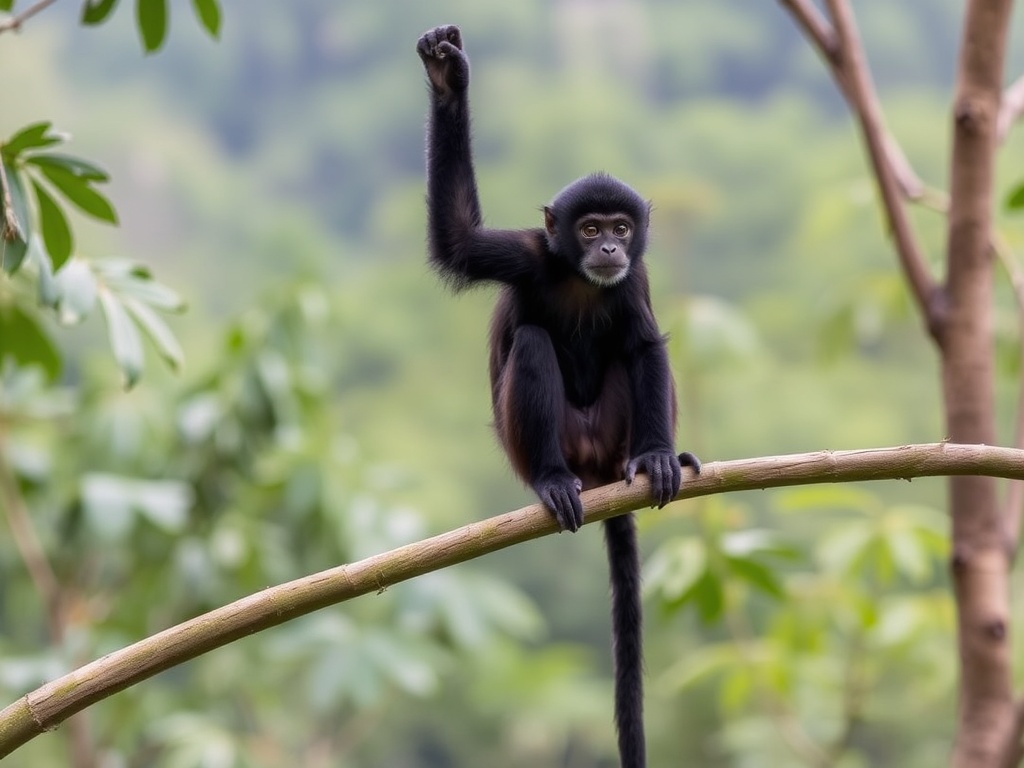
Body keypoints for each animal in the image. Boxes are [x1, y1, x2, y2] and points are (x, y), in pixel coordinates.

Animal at [417, 25, 699, 768]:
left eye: (622, 229)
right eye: (590, 227)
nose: (608, 248)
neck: (579, 278)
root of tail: (597, 470)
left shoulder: (637, 280)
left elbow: (646, 346)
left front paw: (660, 457)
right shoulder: (526, 252)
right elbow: (459, 241)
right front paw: (448, 80)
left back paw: (643, 463)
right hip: (545, 442)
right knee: (535, 343)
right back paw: (552, 481)